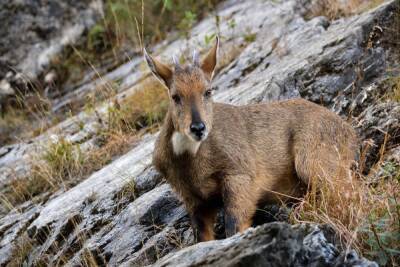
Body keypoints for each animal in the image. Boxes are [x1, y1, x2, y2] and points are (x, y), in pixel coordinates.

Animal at [145, 37, 360, 243]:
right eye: (175, 96)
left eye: (208, 91)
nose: (198, 128)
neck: (190, 161)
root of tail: (349, 133)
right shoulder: (193, 199)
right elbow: (202, 238)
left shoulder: (239, 177)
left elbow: (235, 225)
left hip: (313, 162)